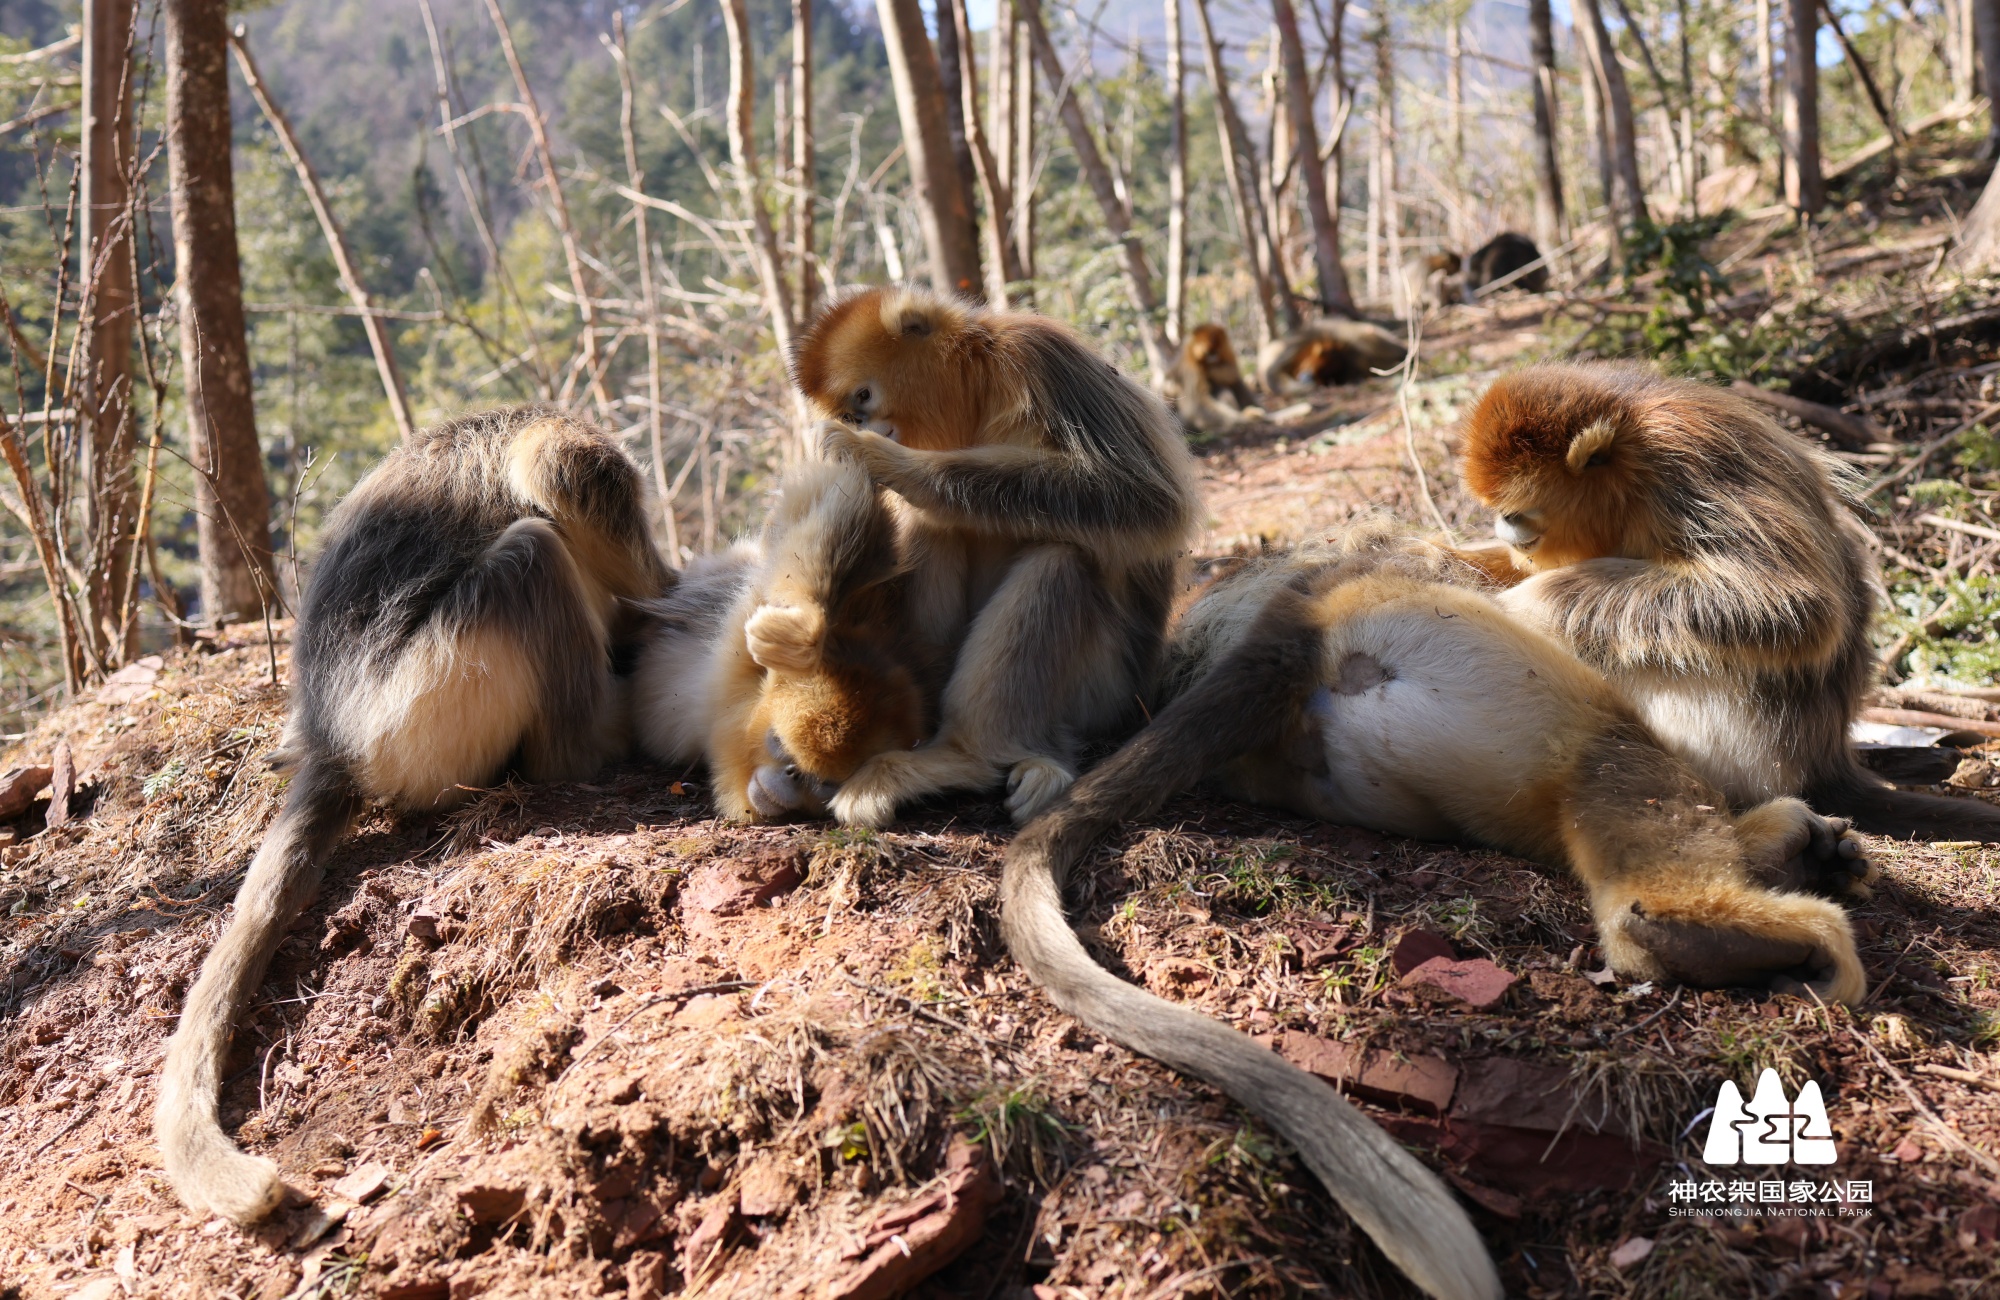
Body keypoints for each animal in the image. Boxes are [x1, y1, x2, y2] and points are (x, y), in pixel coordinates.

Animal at [630, 457, 934, 822]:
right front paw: (796, 634)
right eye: (778, 743)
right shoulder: (739, 642)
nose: (791, 773)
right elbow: (835, 490)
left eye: (822, 783)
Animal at [792, 286, 1201, 827]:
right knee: (935, 526)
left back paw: (963, 757)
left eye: (863, 397)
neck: (978, 392)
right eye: (849, 410)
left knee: (1059, 557)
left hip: (1104, 692)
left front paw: (878, 458)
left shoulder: (1041, 357)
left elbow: (1144, 498)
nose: (865, 426)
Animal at [1454, 362, 2000, 841]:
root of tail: (1825, 760)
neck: (1631, 452)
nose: (1503, 530)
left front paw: (1526, 600)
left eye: (1517, 513)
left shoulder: (1683, 466)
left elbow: (1794, 608)